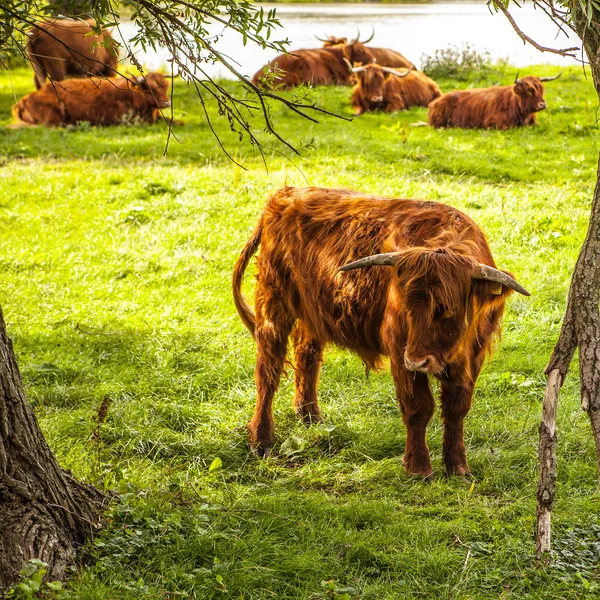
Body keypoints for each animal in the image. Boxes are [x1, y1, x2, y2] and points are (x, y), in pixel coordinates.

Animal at [234, 188, 528, 478]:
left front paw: (458, 467)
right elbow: (418, 407)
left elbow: (457, 409)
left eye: (448, 309)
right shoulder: (400, 349)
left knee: (307, 355)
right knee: (268, 370)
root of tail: (285, 195)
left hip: (312, 312)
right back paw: (262, 440)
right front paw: (419, 468)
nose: (418, 361)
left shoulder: (472, 358)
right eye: (407, 306)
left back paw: (311, 418)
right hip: (274, 304)